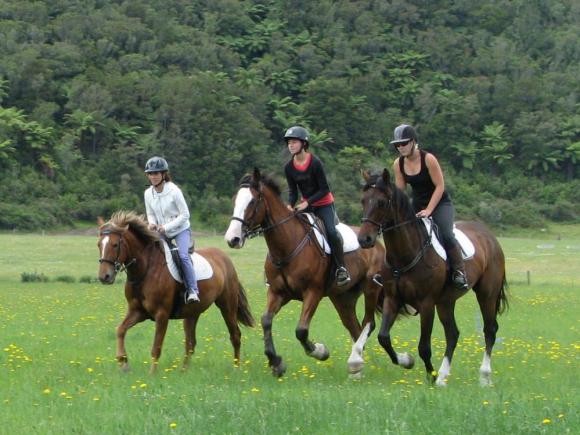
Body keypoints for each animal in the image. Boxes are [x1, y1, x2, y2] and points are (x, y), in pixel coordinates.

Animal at [97, 211, 254, 374]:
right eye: (99, 244)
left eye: (115, 245)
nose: (104, 277)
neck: (146, 270)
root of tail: (225, 258)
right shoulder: (138, 312)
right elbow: (120, 330)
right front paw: (123, 362)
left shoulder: (161, 315)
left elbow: (156, 347)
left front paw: (152, 374)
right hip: (192, 313)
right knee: (190, 343)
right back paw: (183, 371)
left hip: (227, 305)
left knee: (235, 335)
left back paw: (236, 368)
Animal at [225, 169, 386, 380]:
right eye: (234, 200)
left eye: (252, 202)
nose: (232, 239)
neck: (286, 245)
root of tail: (376, 242)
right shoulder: (278, 293)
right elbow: (266, 320)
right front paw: (276, 363)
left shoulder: (313, 292)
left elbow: (301, 330)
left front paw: (320, 351)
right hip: (343, 298)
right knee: (355, 328)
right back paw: (357, 368)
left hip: (371, 288)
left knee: (368, 323)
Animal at [356, 169, 510, 386]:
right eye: (363, 200)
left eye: (381, 202)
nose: (364, 239)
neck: (405, 254)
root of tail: (489, 235)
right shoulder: (392, 299)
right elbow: (383, 337)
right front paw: (406, 361)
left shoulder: (426, 303)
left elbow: (424, 347)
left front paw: (431, 375)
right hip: (446, 301)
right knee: (453, 333)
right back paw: (444, 376)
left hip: (487, 294)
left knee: (490, 330)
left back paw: (483, 376)